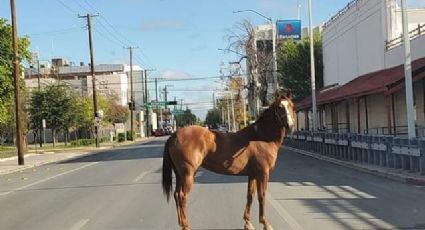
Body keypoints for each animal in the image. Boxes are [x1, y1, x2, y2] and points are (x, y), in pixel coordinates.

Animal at [162, 91, 294, 230]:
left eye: (291, 105)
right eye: (279, 107)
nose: (290, 125)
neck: (261, 138)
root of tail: (174, 135)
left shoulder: (253, 174)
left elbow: (250, 195)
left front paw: (248, 223)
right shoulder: (263, 173)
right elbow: (262, 196)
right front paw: (265, 223)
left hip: (179, 174)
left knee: (177, 195)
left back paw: (181, 223)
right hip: (188, 174)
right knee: (183, 196)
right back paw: (186, 225)